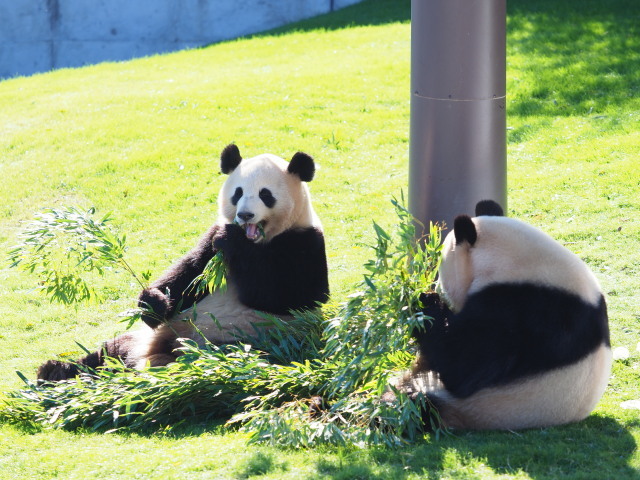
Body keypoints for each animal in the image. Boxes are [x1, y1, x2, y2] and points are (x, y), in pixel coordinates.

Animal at [38, 144, 330, 380]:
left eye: (265, 194)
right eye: (237, 193)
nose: (245, 215)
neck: (259, 242)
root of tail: (153, 357)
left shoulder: (305, 243)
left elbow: (287, 296)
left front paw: (234, 241)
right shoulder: (210, 241)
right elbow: (188, 276)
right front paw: (152, 302)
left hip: (239, 342)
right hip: (139, 339)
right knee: (106, 353)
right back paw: (55, 372)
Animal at [398, 200, 612, 432]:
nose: (437, 287)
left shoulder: (522, 310)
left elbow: (462, 364)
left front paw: (423, 300)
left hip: (481, 405)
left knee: (417, 403)